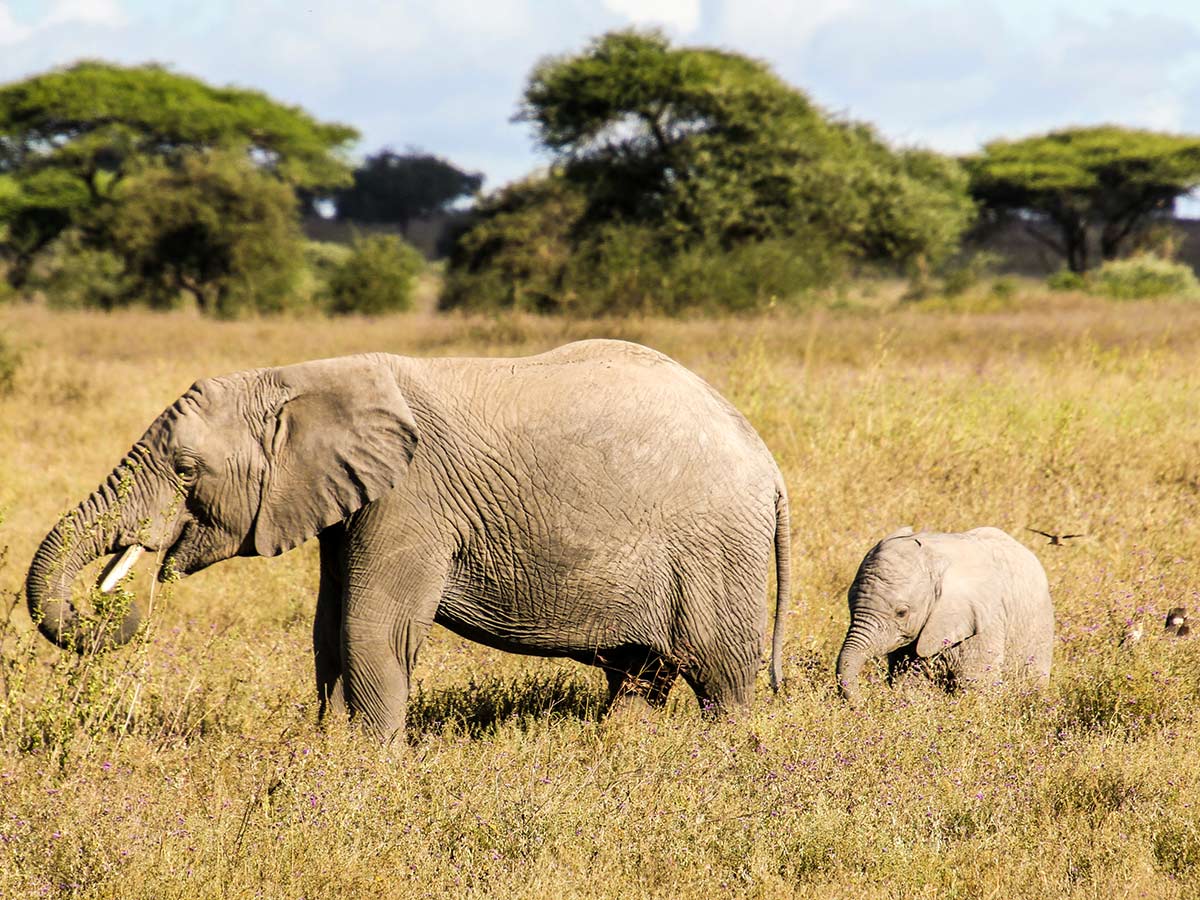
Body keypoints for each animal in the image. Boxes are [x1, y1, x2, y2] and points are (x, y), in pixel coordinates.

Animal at [28, 340, 792, 744]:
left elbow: (374, 628)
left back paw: (725, 758)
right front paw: (326, 751)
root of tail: (769, 462)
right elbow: (329, 628)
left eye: (186, 470)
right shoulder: (349, 504)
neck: (303, 377)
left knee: (720, 675)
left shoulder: (410, 501)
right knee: (639, 674)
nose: (127, 583)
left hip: (716, 547)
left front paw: (367, 768)